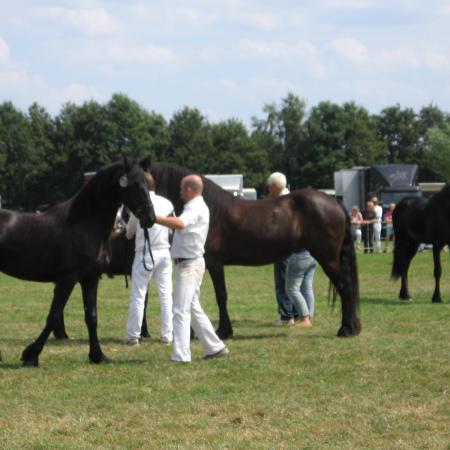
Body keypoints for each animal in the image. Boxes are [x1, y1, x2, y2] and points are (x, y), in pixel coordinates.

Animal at [0, 157, 155, 366]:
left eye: (147, 183)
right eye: (134, 185)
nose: (150, 218)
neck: (82, 225)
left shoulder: (90, 279)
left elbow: (92, 317)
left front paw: (98, 356)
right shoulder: (67, 279)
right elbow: (54, 316)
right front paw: (31, 354)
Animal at [146, 161, 360, 338]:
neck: (210, 209)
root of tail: (335, 202)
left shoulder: (214, 263)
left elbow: (221, 295)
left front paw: (224, 331)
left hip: (328, 258)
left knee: (345, 287)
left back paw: (346, 329)